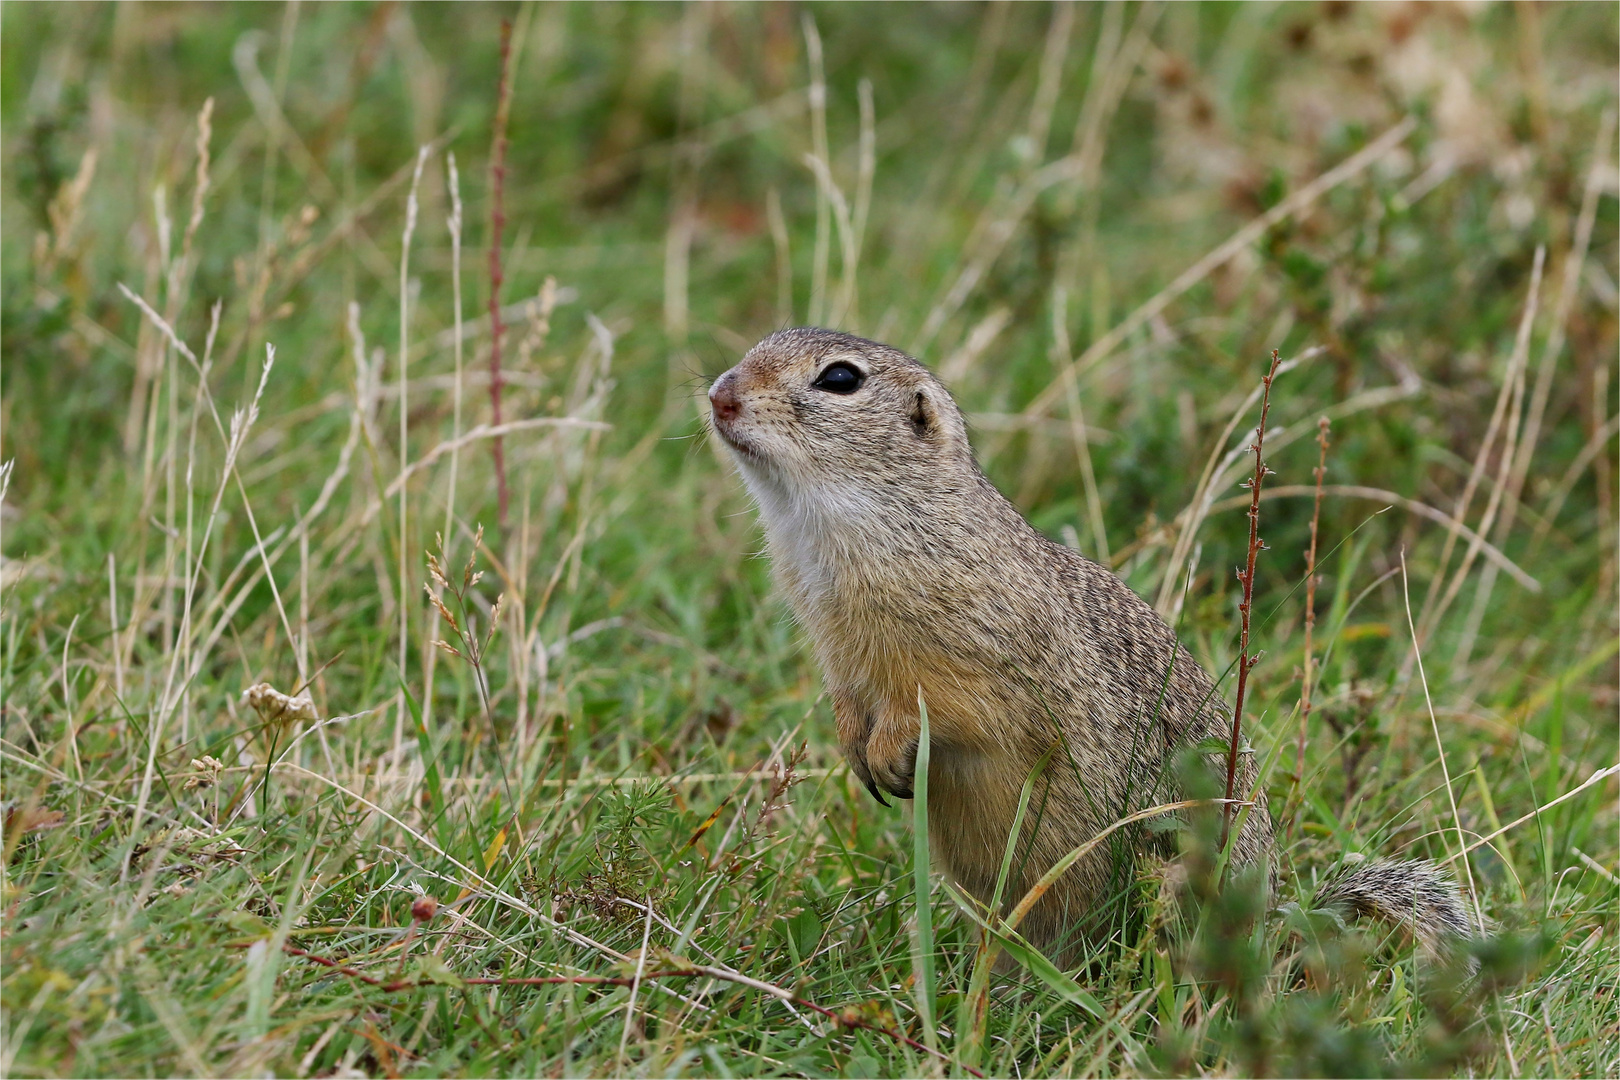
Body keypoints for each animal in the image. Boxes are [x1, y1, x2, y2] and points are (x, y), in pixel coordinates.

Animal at [709, 327, 1483, 965]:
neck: (852, 521)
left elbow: (945, 705)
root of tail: (1274, 926)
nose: (720, 395)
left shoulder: (972, 656)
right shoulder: (837, 650)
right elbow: (846, 700)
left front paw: (894, 751)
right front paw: (855, 749)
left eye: (840, 379)